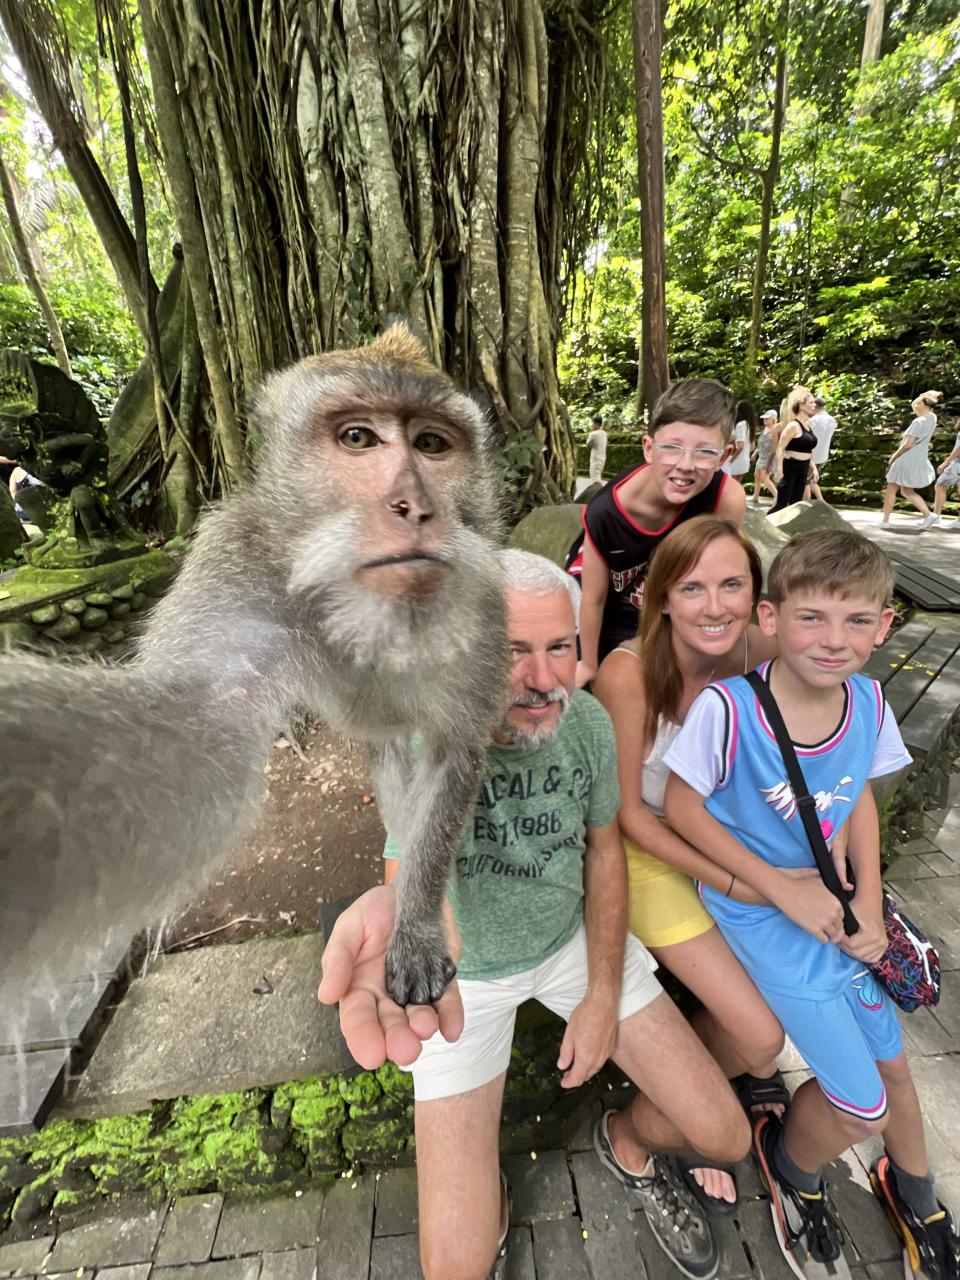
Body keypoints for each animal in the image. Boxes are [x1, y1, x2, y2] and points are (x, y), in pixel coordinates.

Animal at [0, 327, 512, 1018]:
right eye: (358, 438)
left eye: (433, 445)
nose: (415, 507)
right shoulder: (234, 565)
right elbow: (187, 731)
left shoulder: (479, 599)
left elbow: (454, 749)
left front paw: (416, 926)